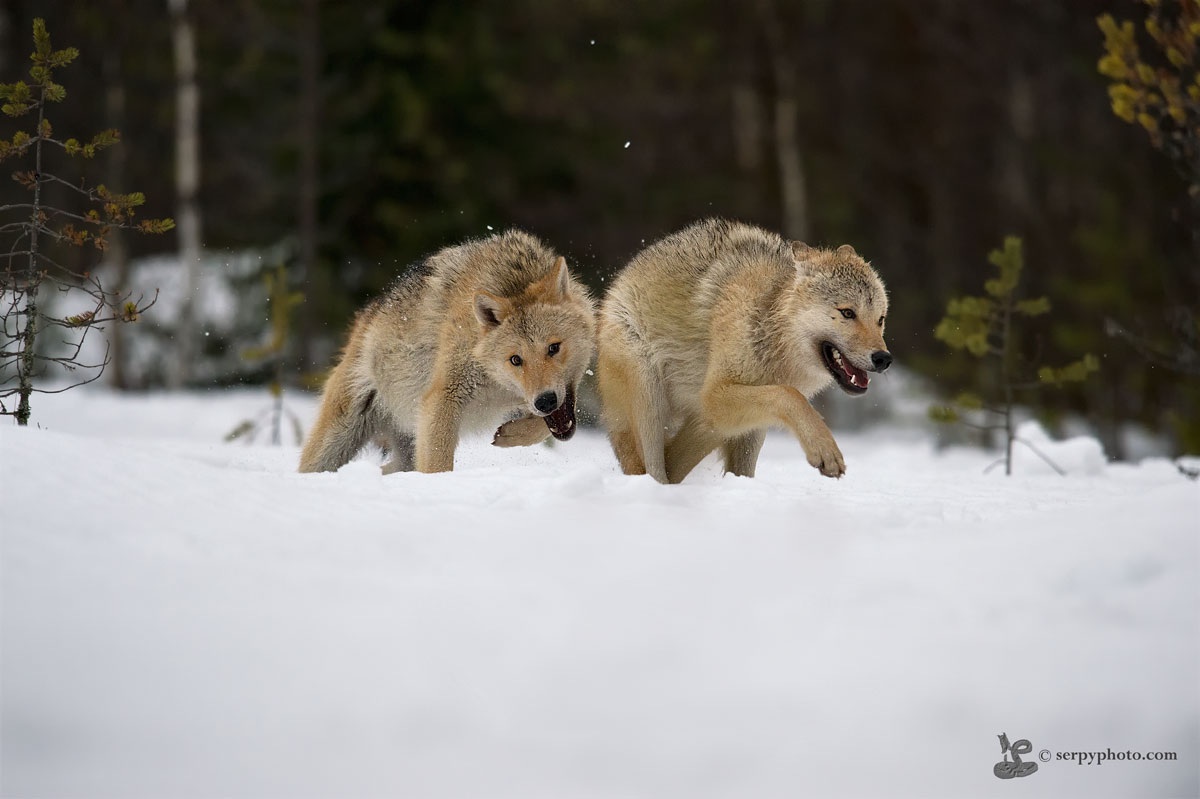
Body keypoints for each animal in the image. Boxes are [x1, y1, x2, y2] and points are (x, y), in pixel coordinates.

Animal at [299, 230, 597, 474]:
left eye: (553, 348)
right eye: (515, 360)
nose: (545, 401)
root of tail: (363, 320)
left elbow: (546, 426)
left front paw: (512, 434)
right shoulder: (443, 399)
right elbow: (438, 465)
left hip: (406, 454)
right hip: (335, 441)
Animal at [596, 218, 891, 484]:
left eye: (880, 319)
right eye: (848, 313)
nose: (884, 359)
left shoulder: (728, 417)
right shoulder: (715, 397)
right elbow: (790, 395)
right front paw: (825, 450)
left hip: (719, 428)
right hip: (649, 400)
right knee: (653, 468)